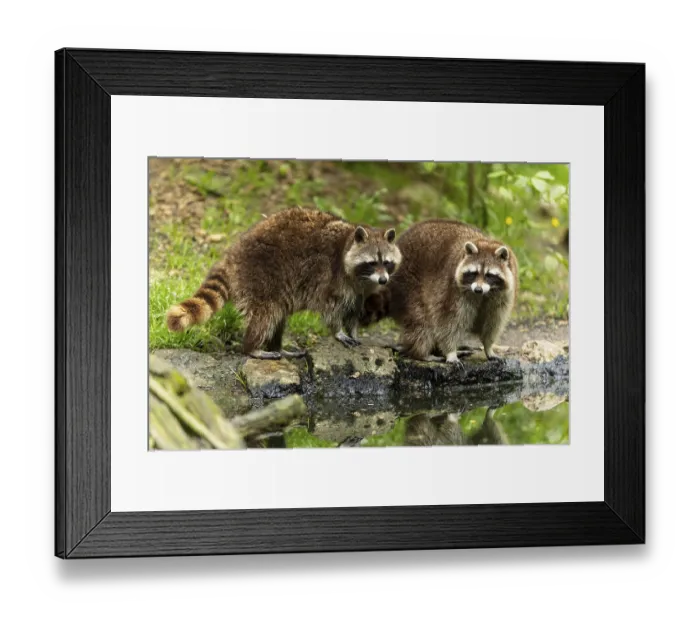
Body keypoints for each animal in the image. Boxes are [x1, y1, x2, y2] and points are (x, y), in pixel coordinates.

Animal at [166, 207, 401, 359]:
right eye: (372, 263)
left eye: (387, 263)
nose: (383, 280)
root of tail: (233, 255)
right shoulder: (331, 278)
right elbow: (331, 309)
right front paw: (338, 331)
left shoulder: (359, 290)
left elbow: (354, 310)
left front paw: (353, 330)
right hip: (260, 275)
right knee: (266, 315)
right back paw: (252, 347)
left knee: (277, 316)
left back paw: (276, 346)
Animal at [365, 220, 518, 363]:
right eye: (473, 273)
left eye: (489, 275)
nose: (478, 289)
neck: (485, 294)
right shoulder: (453, 289)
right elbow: (448, 321)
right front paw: (450, 352)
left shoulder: (503, 296)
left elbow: (493, 323)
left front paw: (488, 347)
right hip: (406, 285)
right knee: (422, 321)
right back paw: (421, 353)